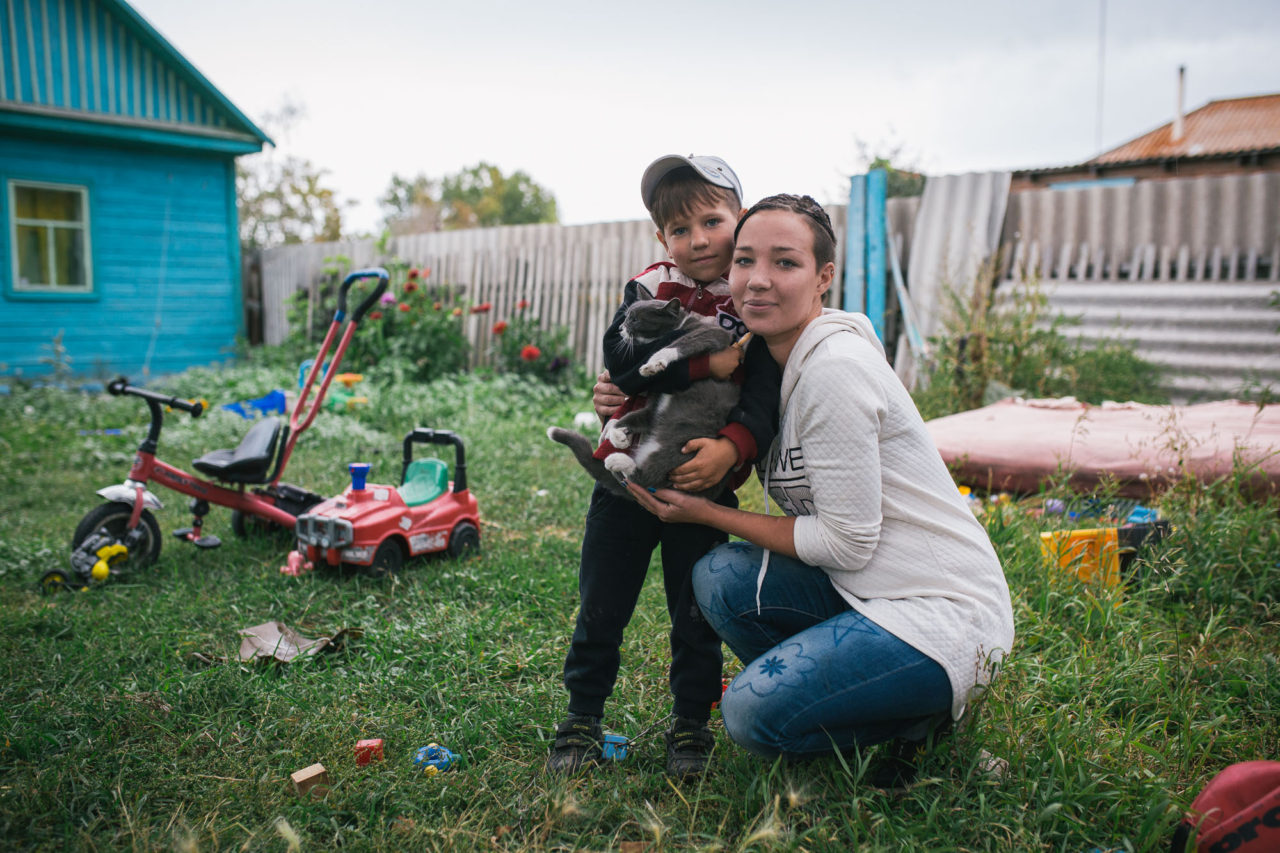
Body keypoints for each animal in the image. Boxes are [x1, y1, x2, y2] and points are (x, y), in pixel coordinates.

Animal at [547, 297, 742, 502]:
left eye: (634, 319)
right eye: (625, 317)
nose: (620, 328)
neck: (679, 325)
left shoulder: (713, 332)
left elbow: (680, 343)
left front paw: (653, 364)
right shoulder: (654, 404)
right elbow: (628, 418)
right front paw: (617, 437)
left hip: (686, 450)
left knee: (649, 478)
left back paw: (617, 461)